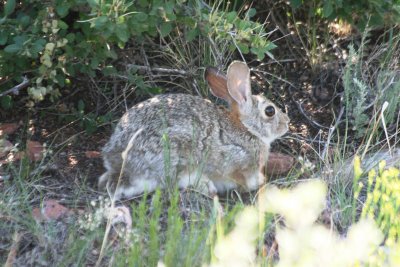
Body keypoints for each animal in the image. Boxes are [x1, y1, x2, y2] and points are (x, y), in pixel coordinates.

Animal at [98, 60, 290, 199]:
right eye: (270, 111)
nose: (287, 122)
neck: (248, 129)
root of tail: (118, 159)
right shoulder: (238, 163)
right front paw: (259, 182)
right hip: (175, 156)